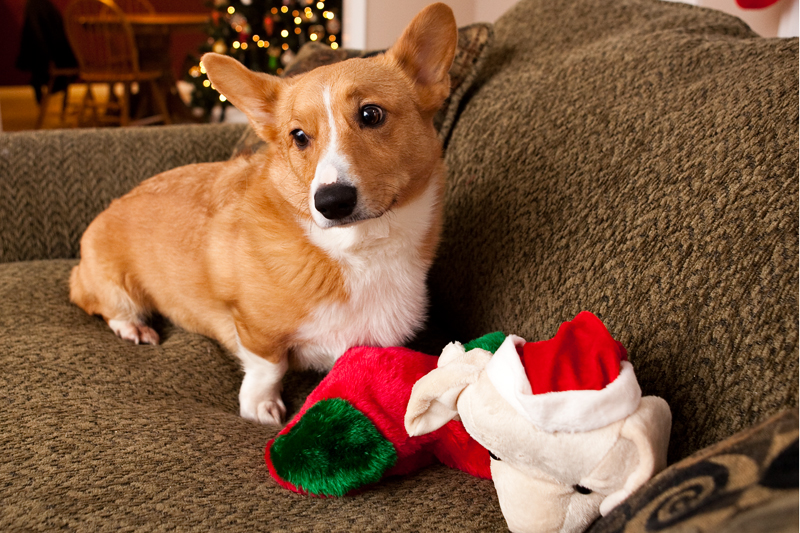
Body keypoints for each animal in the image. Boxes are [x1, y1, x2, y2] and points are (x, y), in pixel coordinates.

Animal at [70, 2, 456, 422]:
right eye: (298, 136)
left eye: (371, 114)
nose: (331, 202)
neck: (360, 250)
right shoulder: (253, 327)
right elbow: (269, 366)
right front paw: (260, 406)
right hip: (116, 288)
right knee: (104, 304)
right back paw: (133, 328)